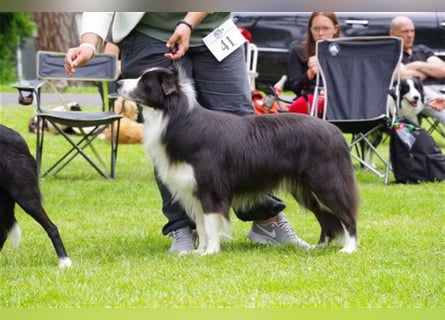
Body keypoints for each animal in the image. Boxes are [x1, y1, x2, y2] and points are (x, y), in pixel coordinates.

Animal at [117, 67, 358, 255]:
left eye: (144, 82)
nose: (118, 82)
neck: (174, 116)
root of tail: (335, 131)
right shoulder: (195, 191)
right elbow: (202, 225)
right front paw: (199, 251)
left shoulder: (210, 188)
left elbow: (211, 223)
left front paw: (211, 252)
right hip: (308, 190)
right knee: (326, 217)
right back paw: (320, 246)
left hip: (326, 181)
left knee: (347, 214)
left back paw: (349, 248)